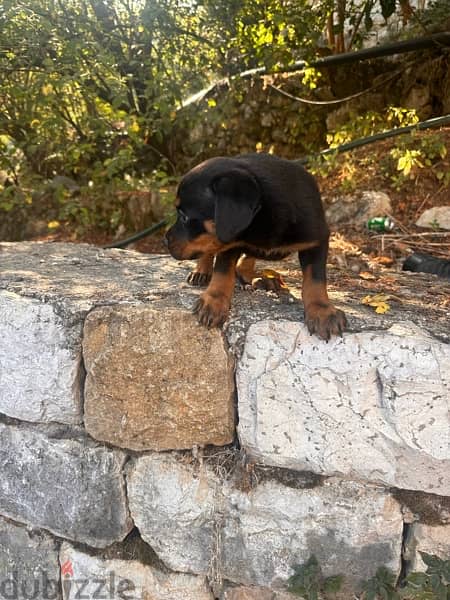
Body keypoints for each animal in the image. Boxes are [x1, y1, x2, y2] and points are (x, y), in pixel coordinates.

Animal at [167, 152, 346, 340]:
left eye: (184, 216)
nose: (166, 239)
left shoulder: (317, 240)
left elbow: (315, 278)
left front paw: (322, 310)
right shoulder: (229, 243)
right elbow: (222, 272)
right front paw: (214, 300)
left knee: (245, 262)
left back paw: (260, 278)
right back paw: (202, 271)